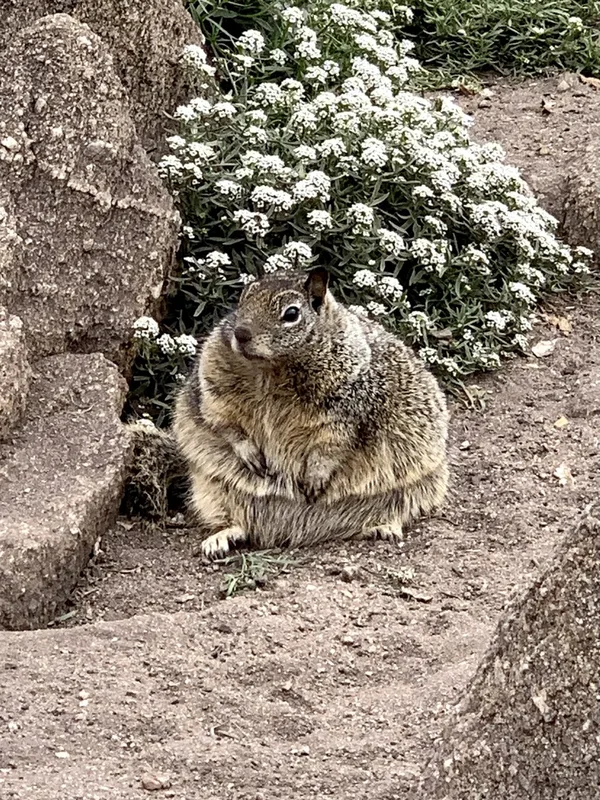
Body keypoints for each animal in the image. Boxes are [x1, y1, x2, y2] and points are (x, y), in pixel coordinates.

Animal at [173, 267, 449, 559]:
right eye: (243, 300)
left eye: (291, 313)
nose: (241, 333)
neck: (273, 369)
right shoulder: (212, 383)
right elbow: (223, 422)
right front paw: (251, 456)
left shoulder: (346, 410)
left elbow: (332, 445)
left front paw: (314, 479)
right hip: (210, 491)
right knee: (234, 520)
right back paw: (221, 538)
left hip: (415, 489)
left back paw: (382, 527)